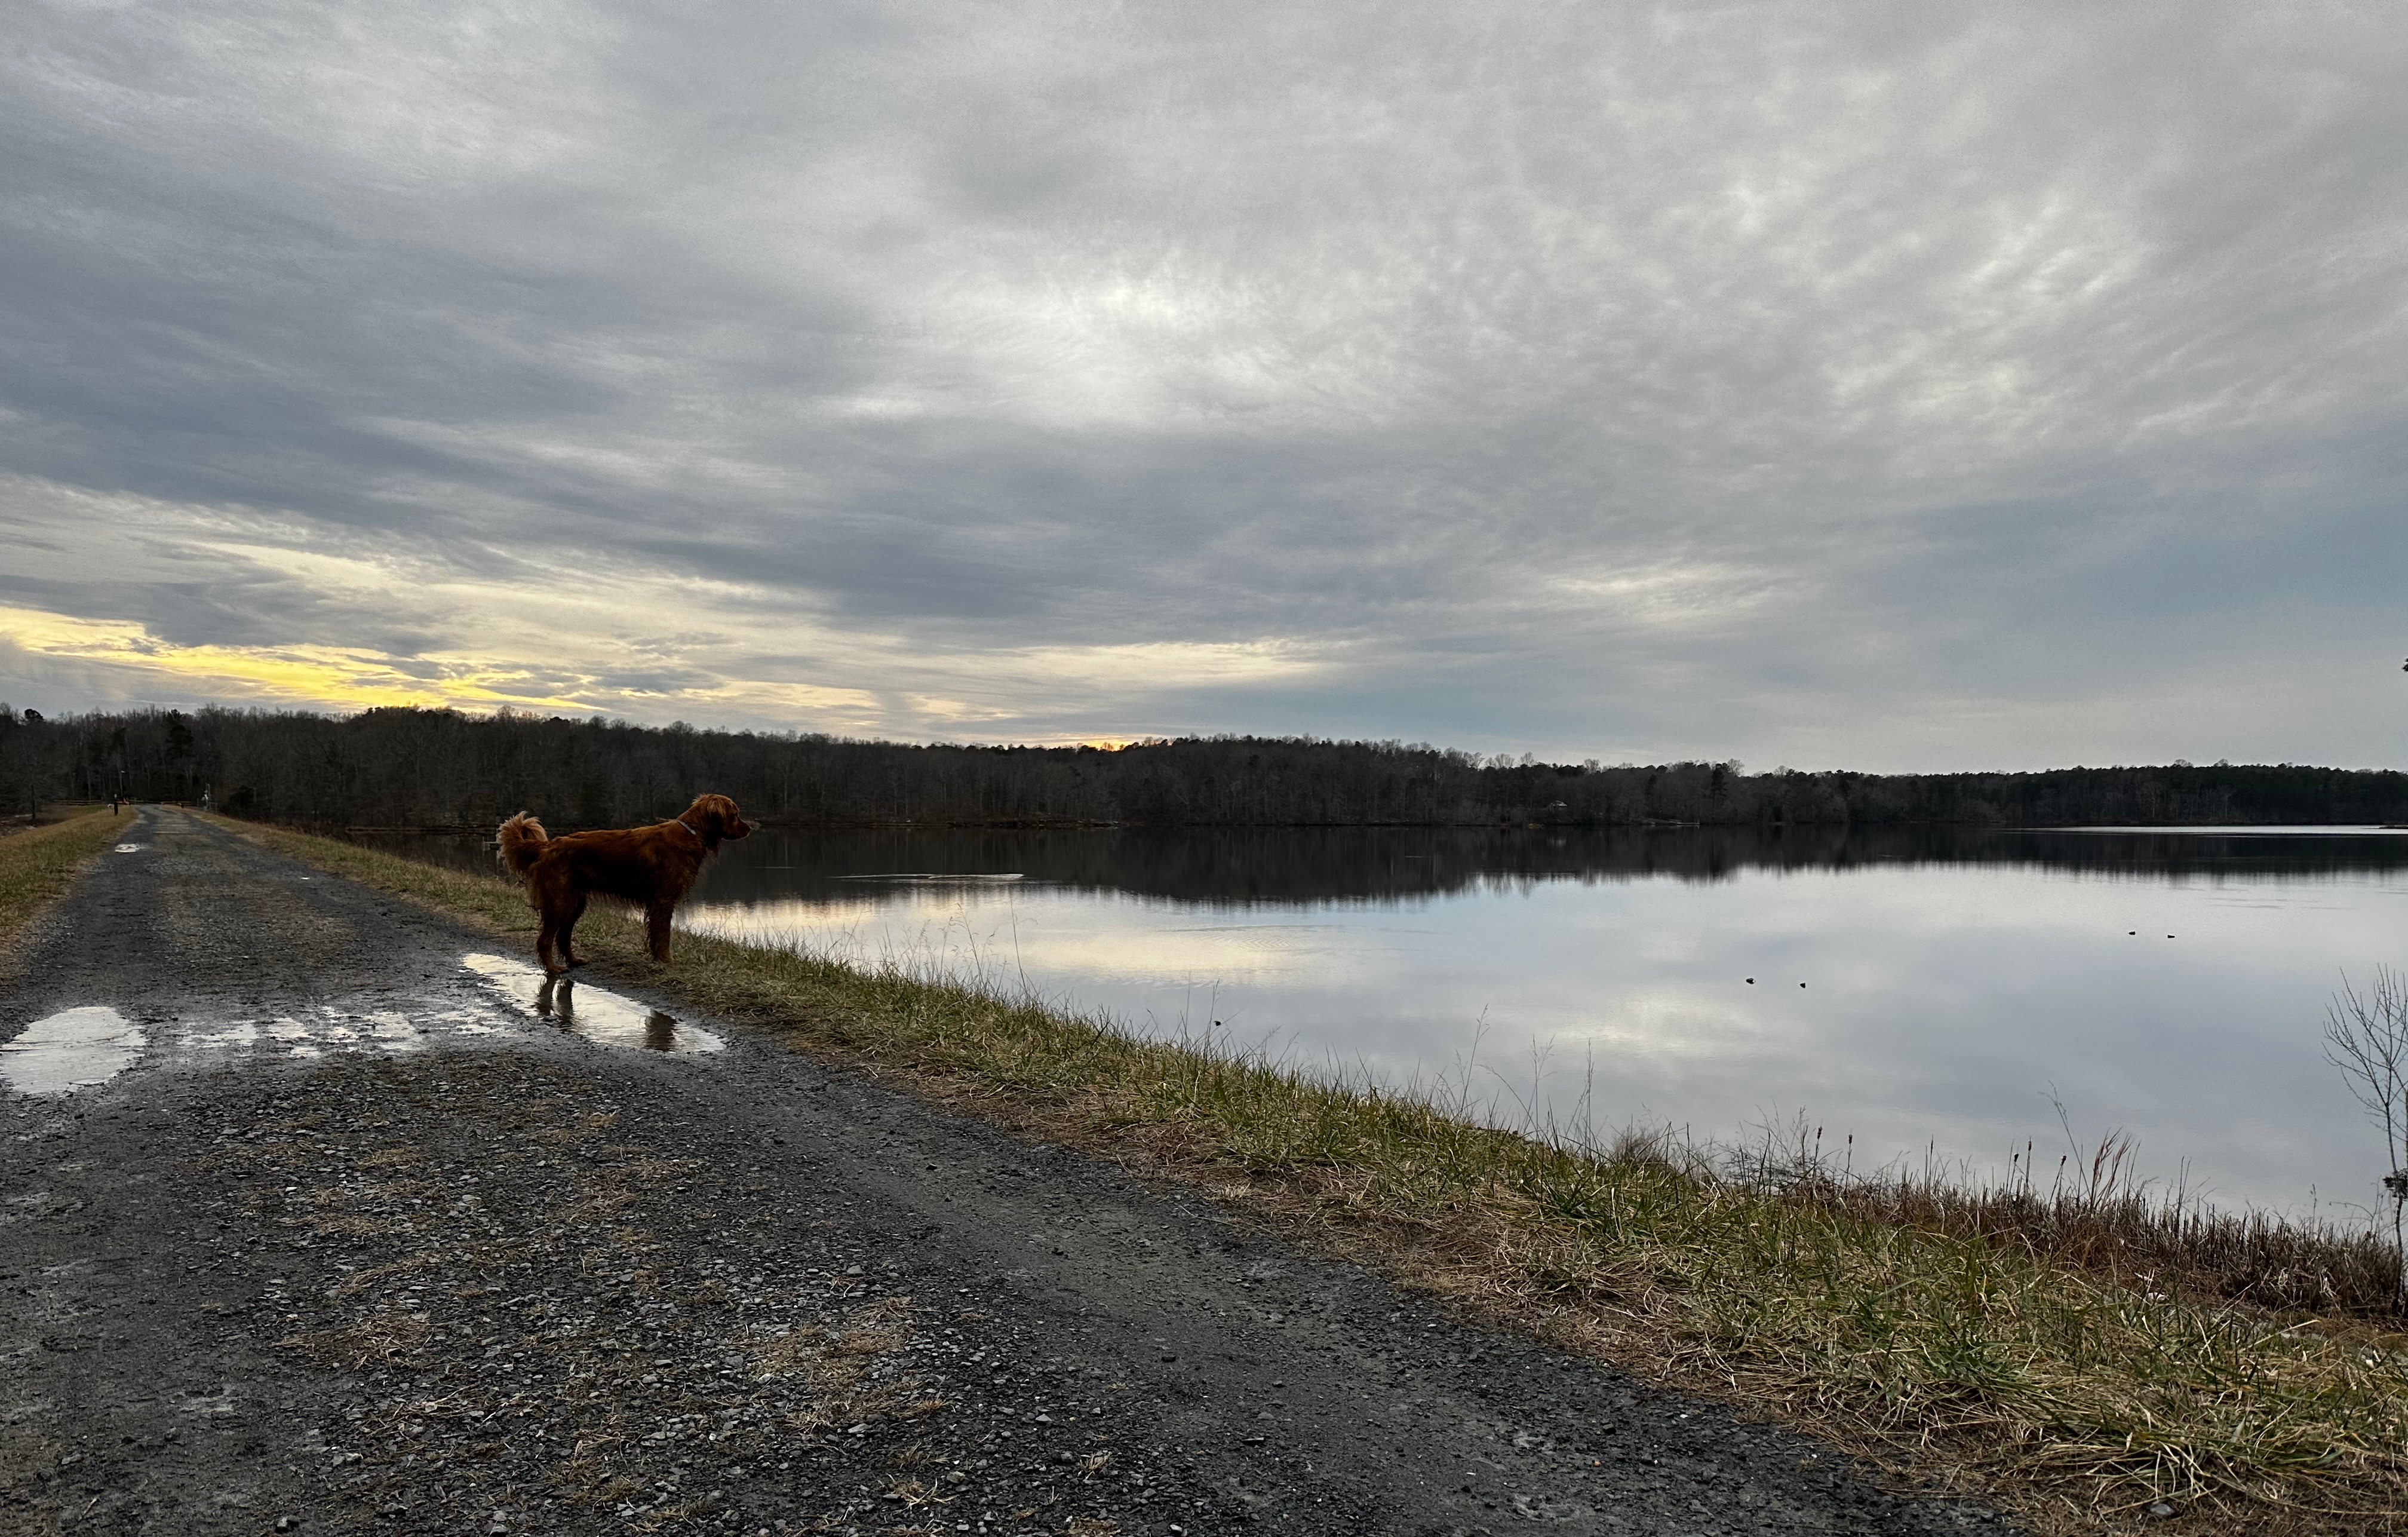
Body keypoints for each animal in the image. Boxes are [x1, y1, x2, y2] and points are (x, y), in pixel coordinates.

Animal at [493, 794, 746, 973]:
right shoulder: (663, 900)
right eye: (735, 814)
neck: (690, 834)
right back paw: (553, 967)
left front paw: (658, 959)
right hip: (561, 902)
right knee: (545, 939)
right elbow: (663, 936)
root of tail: (548, 846)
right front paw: (666, 961)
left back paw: (573, 960)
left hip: (575, 903)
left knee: (563, 936)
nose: (750, 827)